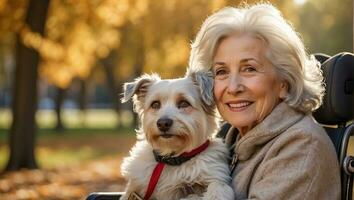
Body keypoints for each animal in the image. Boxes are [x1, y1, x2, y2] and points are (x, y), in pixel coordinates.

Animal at [119, 70, 235, 200]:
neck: (172, 158)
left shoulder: (214, 175)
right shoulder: (133, 189)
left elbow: (218, 186)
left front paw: (215, 194)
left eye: (184, 103)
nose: (163, 123)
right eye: (155, 104)